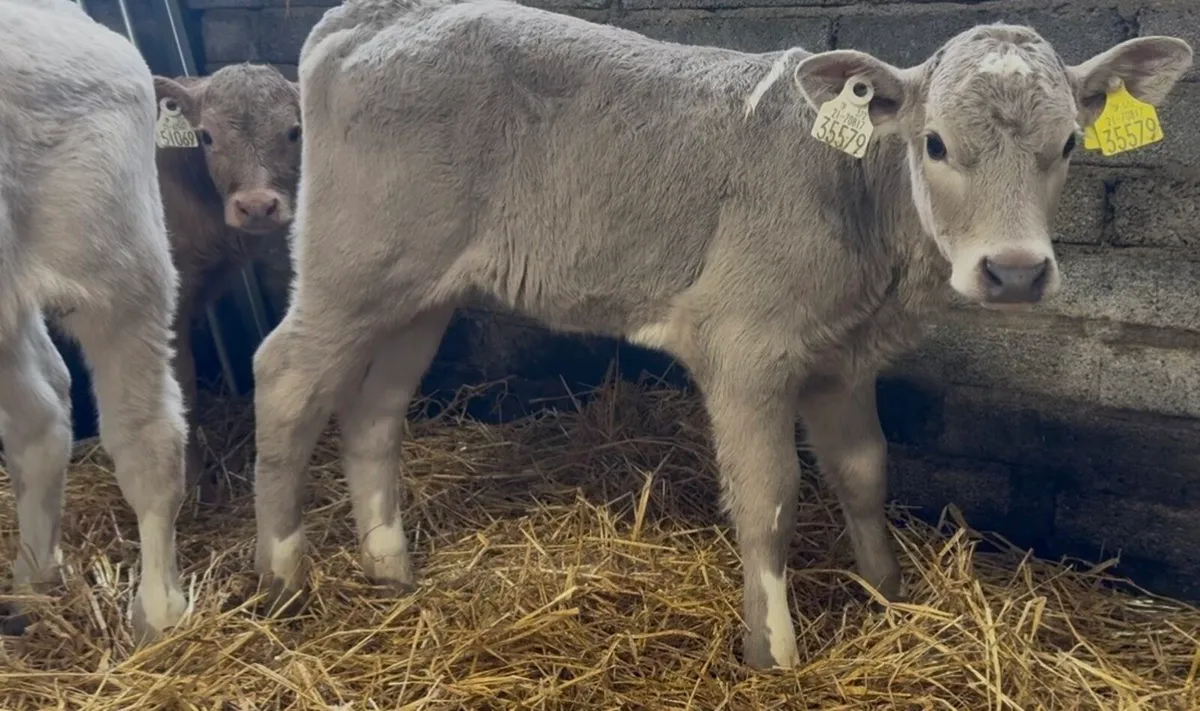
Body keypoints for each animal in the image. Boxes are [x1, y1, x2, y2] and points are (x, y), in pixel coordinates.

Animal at [248, 0, 1193, 670]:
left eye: (1068, 143)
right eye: (933, 143)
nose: (1015, 271)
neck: (855, 199)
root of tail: (371, 15)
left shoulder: (844, 356)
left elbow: (865, 472)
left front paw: (891, 595)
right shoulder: (746, 347)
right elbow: (770, 496)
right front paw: (773, 651)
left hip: (421, 288)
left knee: (374, 409)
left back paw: (389, 569)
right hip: (350, 262)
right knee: (285, 375)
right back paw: (284, 582)